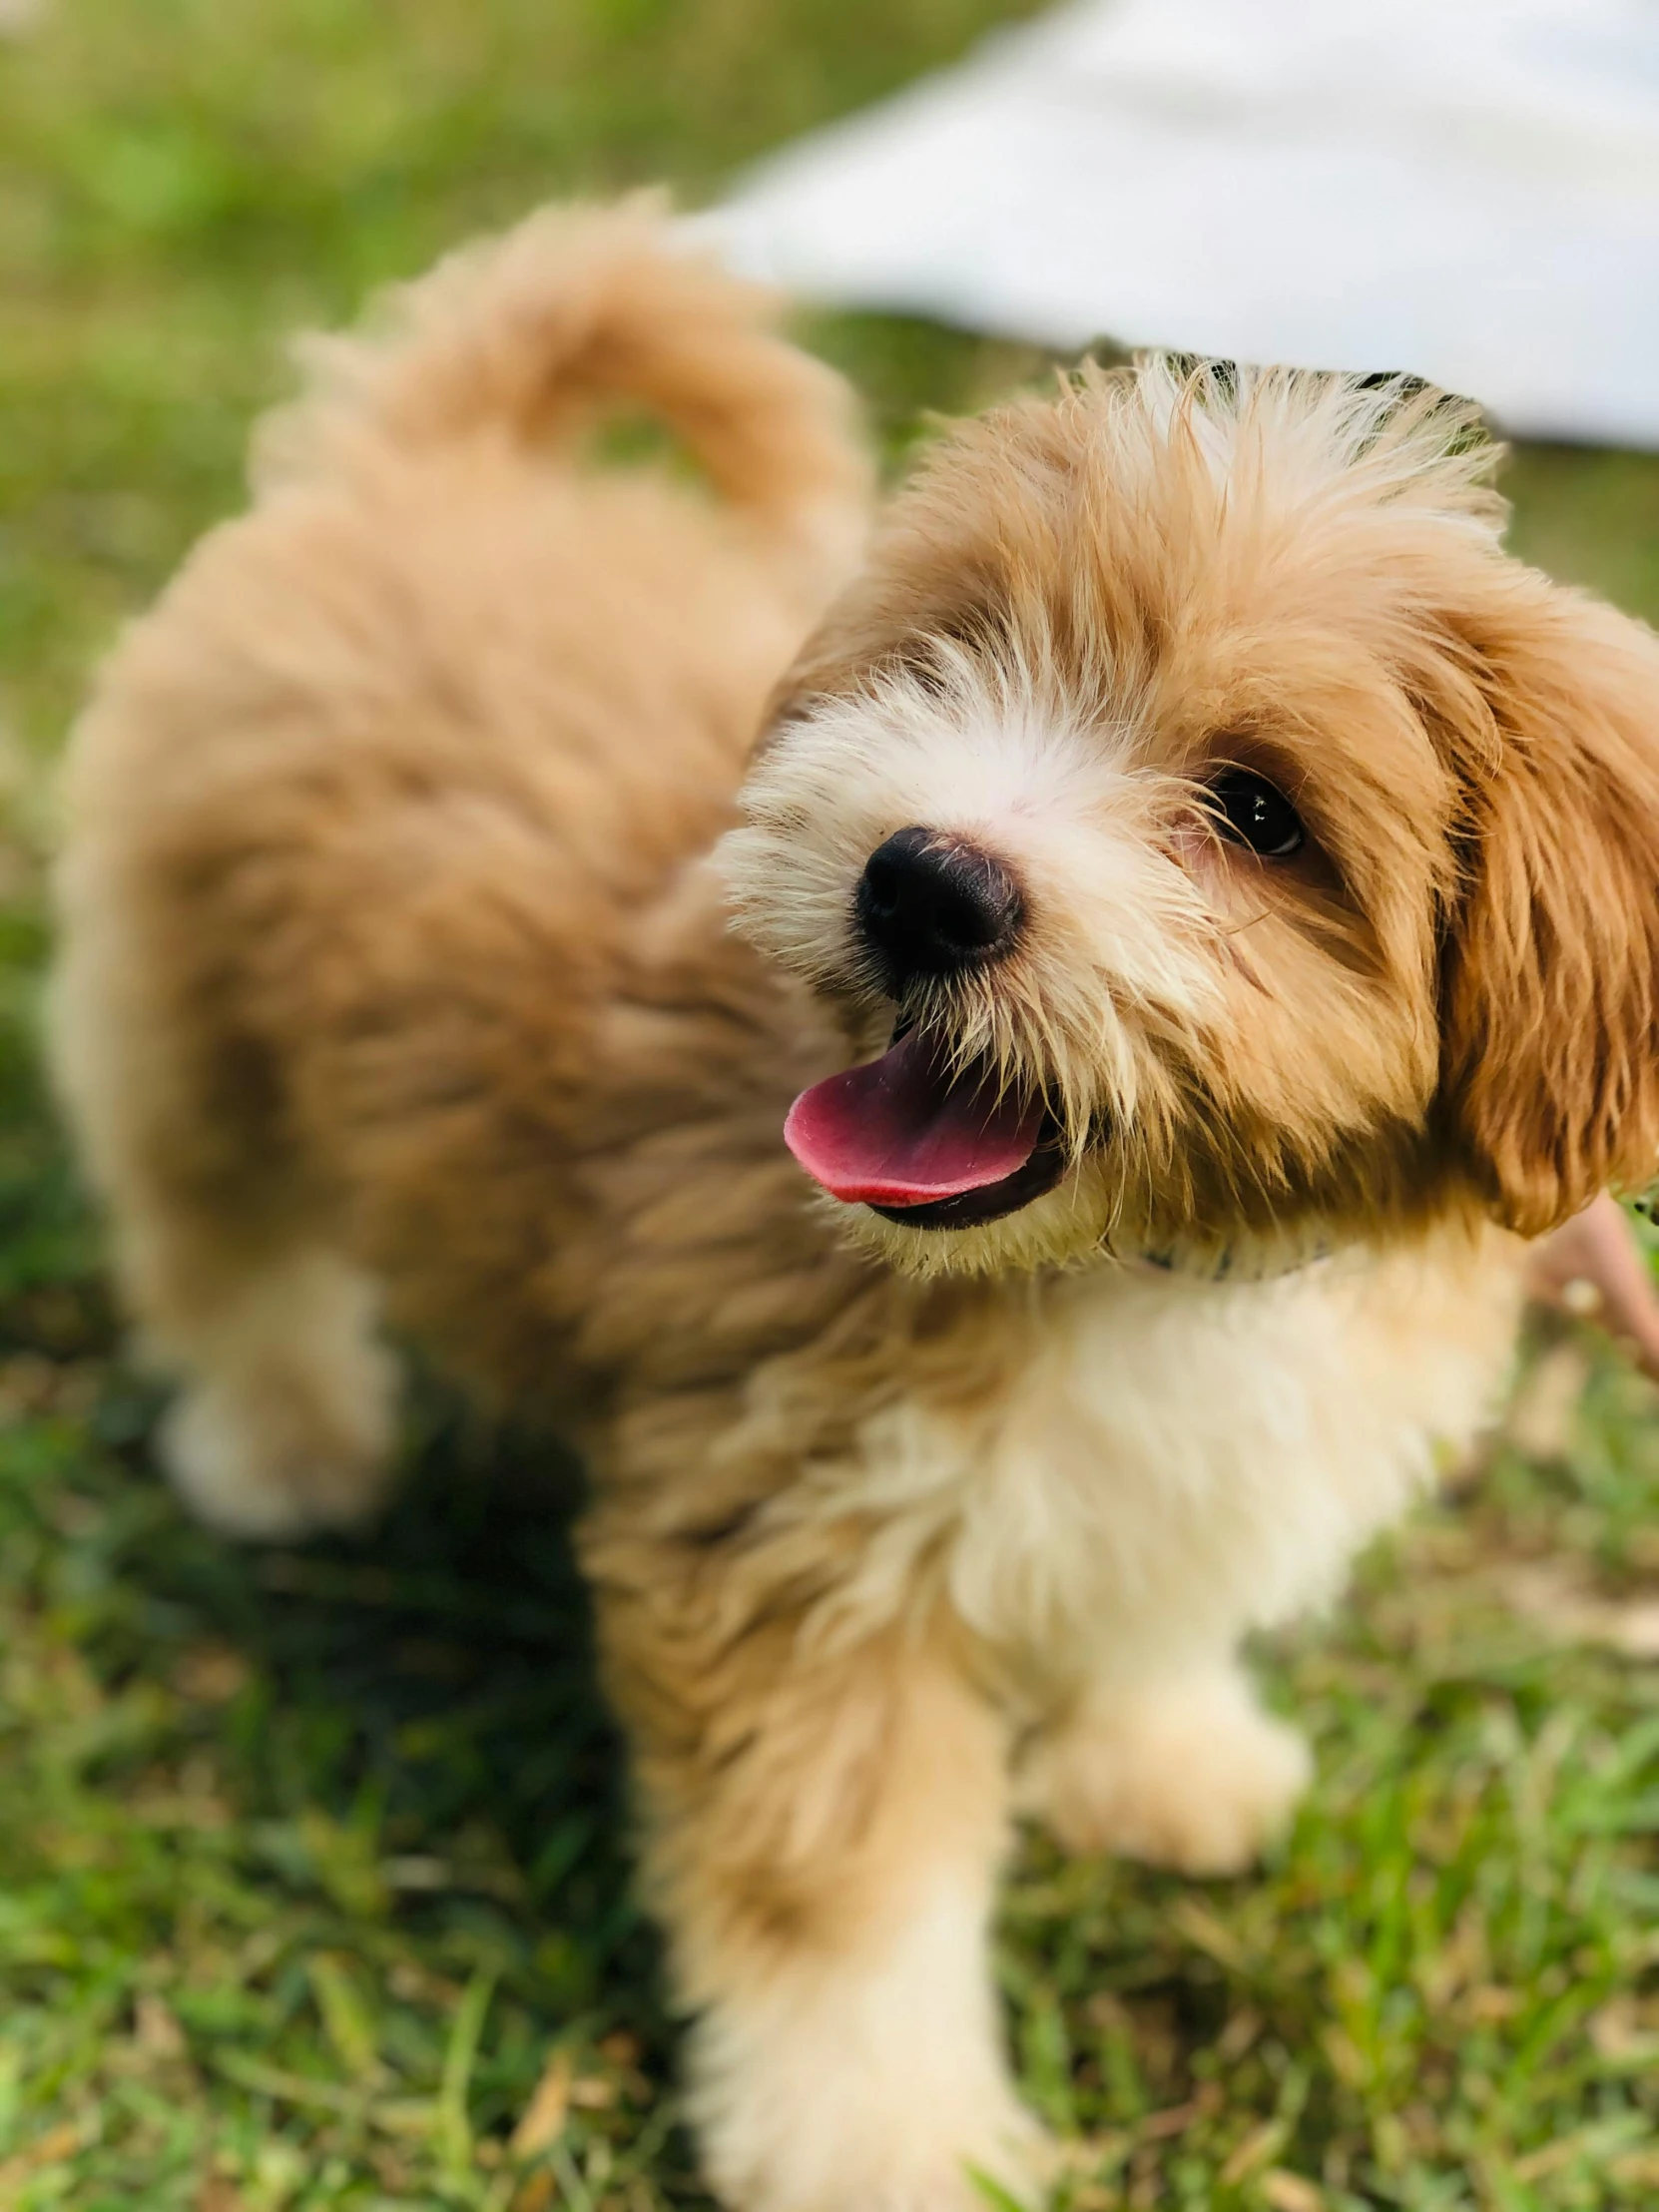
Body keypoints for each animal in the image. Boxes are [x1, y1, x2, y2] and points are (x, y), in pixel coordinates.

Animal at [45, 208, 1659, 2212]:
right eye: (950, 663)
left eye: (1256, 809)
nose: (922, 883)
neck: (1129, 1269)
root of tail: (430, 460)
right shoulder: (796, 1564)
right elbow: (845, 1911)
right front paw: (888, 2143)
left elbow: (1149, 1600)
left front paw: (1161, 1758)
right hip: (189, 1012)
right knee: (219, 1237)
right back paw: (283, 1443)